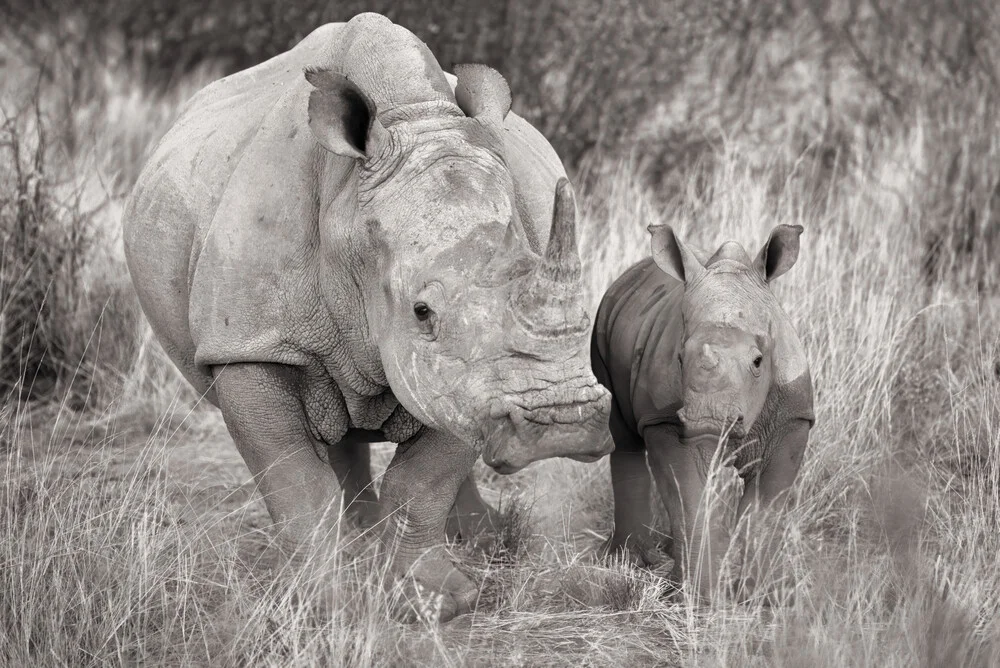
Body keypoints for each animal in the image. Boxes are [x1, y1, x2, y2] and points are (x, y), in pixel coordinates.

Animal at [121, 13, 612, 620]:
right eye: (422, 312)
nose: (562, 428)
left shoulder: (469, 375)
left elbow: (426, 476)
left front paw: (437, 600)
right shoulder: (252, 345)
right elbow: (293, 476)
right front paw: (322, 600)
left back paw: (478, 539)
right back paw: (362, 537)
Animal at [592, 227, 812, 604]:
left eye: (758, 361)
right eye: (680, 359)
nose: (709, 420)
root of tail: (627, 277)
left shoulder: (792, 419)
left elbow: (762, 512)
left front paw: (756, 597)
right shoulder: (664, 420)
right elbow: (689, 499)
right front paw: (698, 597)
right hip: (602, 326)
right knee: (624, 440)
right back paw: (634, 559)